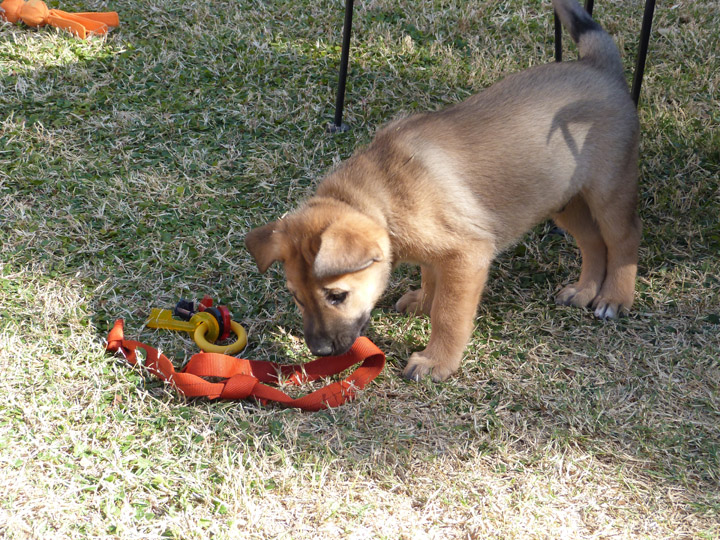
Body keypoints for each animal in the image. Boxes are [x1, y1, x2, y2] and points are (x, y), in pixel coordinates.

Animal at [248, 0, 640, 382]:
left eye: (337, 295)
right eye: (297, 297)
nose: (320, 352)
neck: (383, 197)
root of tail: (599, 67)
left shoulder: (468, 254)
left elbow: (449, 314)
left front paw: (436, 361)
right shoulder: (442, 249)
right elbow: (431, 279)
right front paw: (423, 302)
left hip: (608, 189)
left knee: (623, 239)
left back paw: (614, 298)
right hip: (564, 197)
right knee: (593, 242)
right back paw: (585, 290)